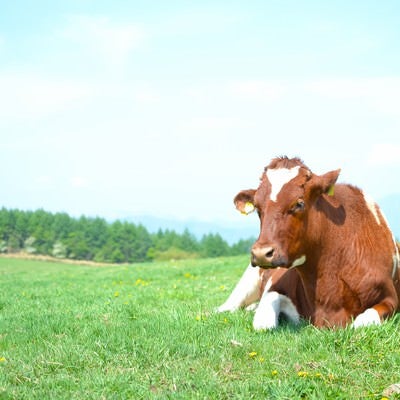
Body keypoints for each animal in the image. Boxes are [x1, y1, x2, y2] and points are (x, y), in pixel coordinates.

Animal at [219, 156, 400, 328]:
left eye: (299, 204)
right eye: (257, 207)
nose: (261, 253)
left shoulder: (390, 298)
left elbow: (362, 322)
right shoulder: (274, 287)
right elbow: (263, 322)